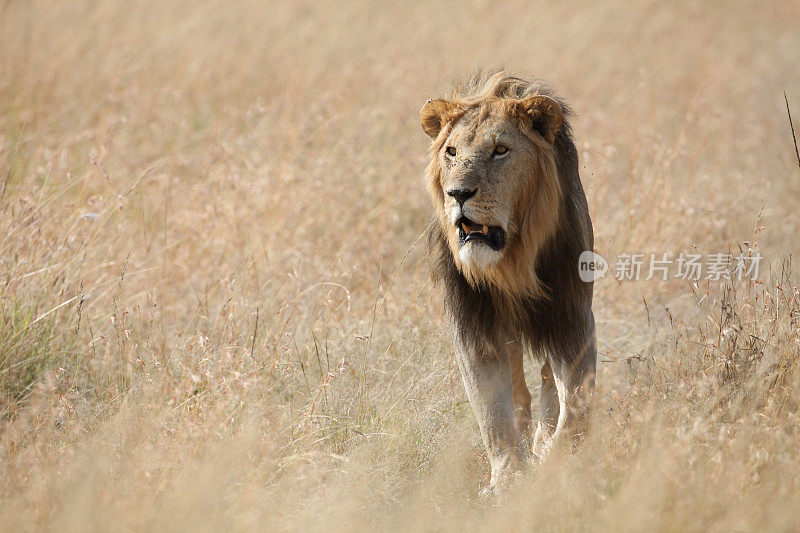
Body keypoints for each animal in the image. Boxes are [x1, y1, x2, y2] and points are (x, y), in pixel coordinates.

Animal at [422, 72, 596, 492]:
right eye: (451, 152)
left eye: (500, 151)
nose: (458, 194)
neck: (511, 263)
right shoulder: (475, 328)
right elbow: (492, 411)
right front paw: (508, 478)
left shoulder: (572, 317)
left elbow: (575, 400)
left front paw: (556, 458)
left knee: (549, 382)